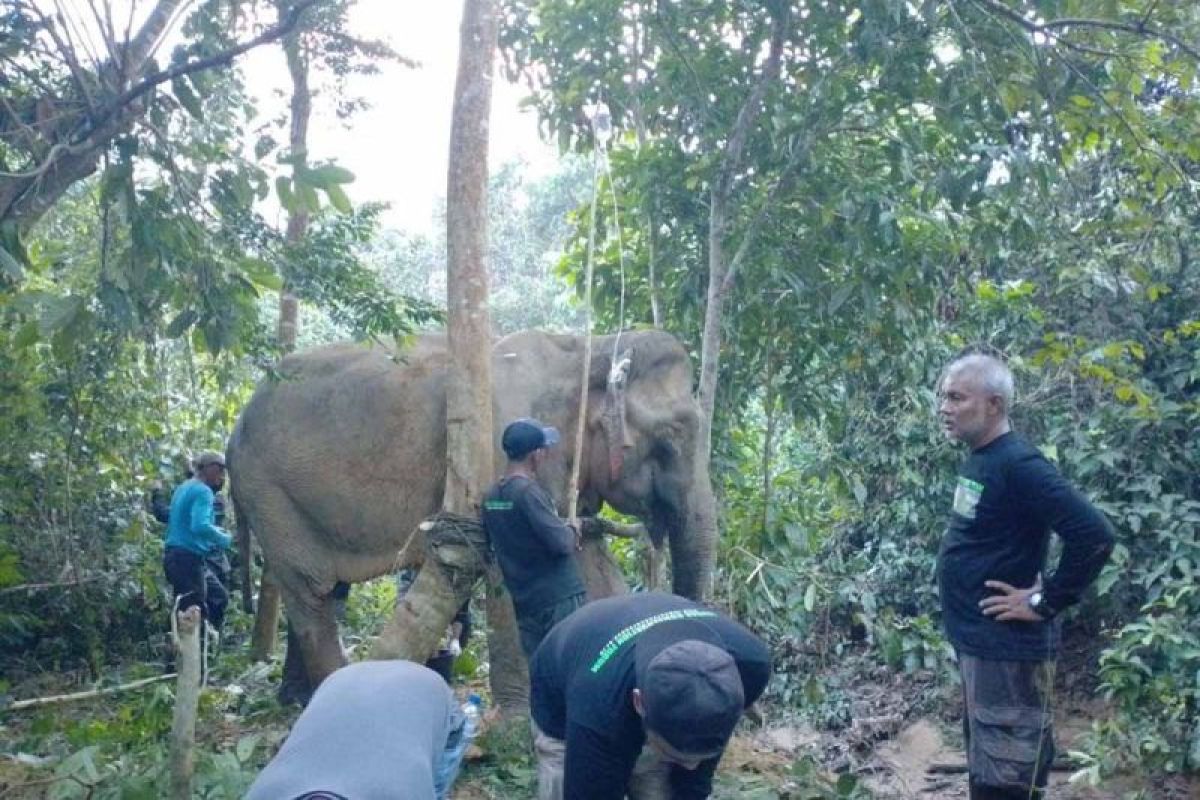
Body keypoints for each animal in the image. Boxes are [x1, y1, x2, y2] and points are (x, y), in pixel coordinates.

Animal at [228, 331, 715, 705]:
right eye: (670, 438)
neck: (586, 349)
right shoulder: (498, 450)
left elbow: (590, 564)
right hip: (268, 492)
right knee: (310, 590)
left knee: (323, 590)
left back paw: (294, 699)